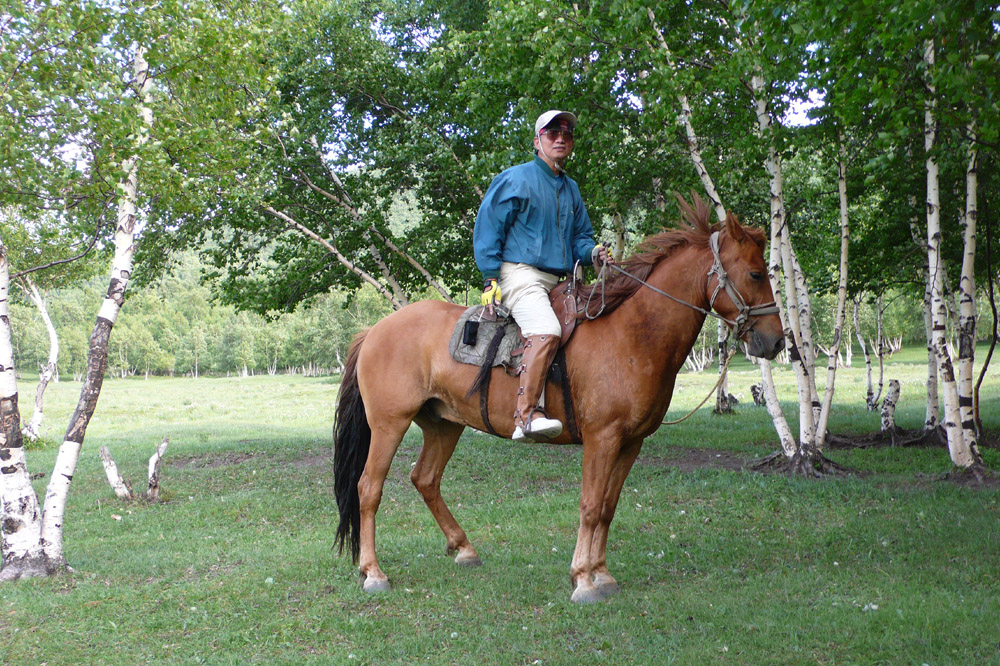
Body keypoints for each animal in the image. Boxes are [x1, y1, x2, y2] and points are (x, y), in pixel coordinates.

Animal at [333, 195, 784, 604]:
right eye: (755, 273)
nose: (777, 341)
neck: (632, 335)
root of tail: (374, 331)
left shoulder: (631, 443)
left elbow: (608, 507)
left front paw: (602, 574)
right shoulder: (603, 439)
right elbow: (590, 505)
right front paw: (583, 579)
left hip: (444, 425)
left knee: (425, 479)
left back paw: (463, 548)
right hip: (389, 424)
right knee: (368, 488)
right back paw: (373, 572)